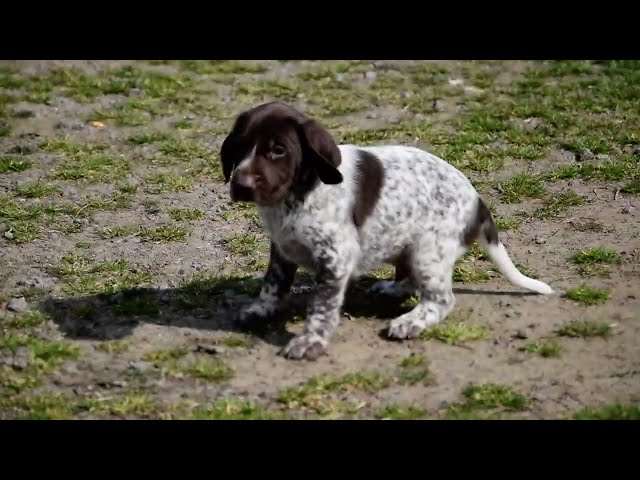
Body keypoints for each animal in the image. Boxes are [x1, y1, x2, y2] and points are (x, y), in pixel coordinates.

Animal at [218, 103, 552, 362]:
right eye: (239, 147)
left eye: (278, 150)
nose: (242, 184)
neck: (297, 196)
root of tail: (478, 202)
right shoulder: (282, 246)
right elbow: (273, 283)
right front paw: (260, 309)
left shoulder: (335, 258)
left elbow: (321, 307)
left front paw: (310, 341)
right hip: (405, 245)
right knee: (410, 279)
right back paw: (391, 289)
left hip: (428, 250)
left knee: (441, 299)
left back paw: (409, 323)